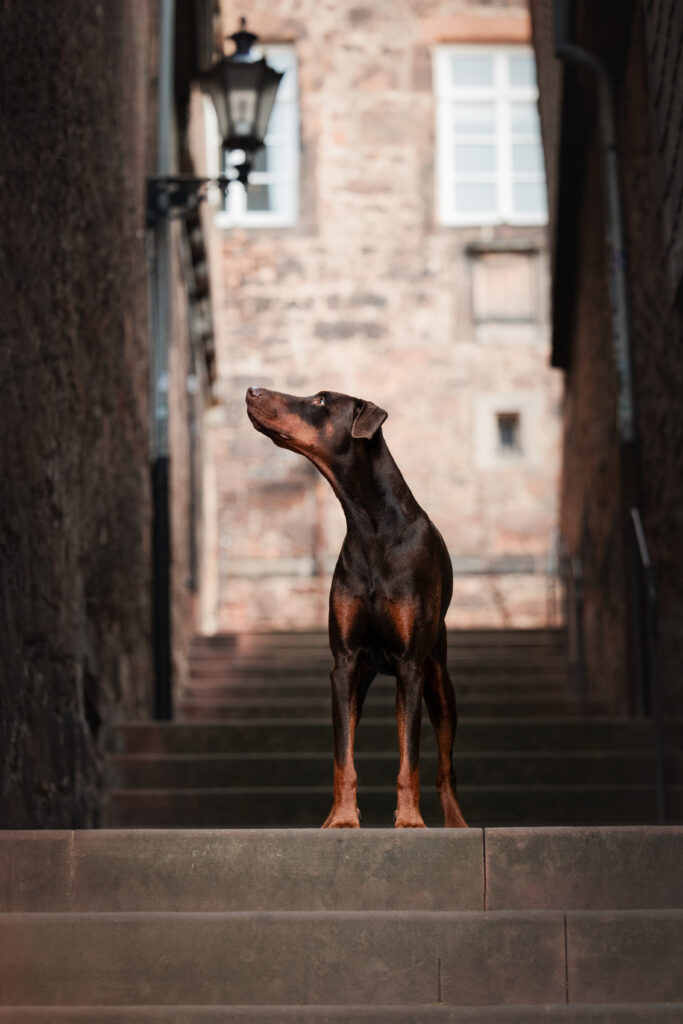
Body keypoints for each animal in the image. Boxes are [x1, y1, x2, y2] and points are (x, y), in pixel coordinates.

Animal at [246, 387, 471, 827]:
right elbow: (342, 757)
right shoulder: (345, 665)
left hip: (439, 683)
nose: (252, 390)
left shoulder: (410, 668)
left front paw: (410, 821)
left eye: (320, 400)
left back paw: (456, 822)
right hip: (364, 679)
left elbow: (410, 759)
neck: (371, 525)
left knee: (445, 768)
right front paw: (342, 820)